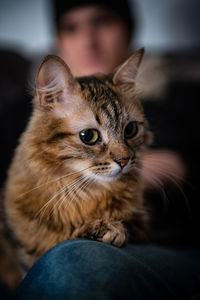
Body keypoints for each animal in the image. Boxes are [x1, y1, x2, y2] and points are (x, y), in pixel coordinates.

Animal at [1, 47, 152, 284]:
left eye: (130, 130)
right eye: (89, 136)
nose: (124, 161)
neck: (86, 194)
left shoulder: (143, 226)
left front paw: (107, 228)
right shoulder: (24, 254)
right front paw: (98, 228)